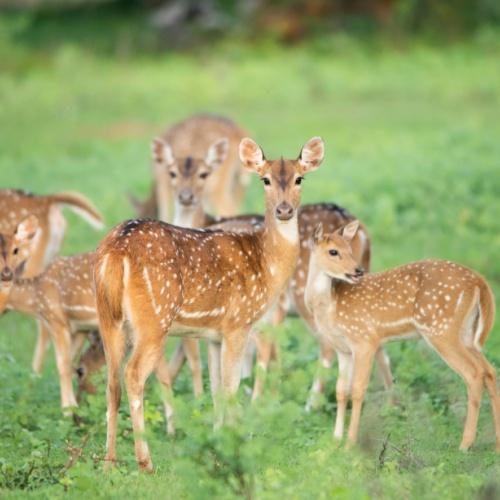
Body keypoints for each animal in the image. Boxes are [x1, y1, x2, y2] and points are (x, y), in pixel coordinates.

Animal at [94, 136, 324, 468]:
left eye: (299, 178)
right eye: (265, 179)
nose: (284, 209)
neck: (266, 263)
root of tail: (116, 251)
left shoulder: (214, 335)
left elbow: (216, 390)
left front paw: (217, 442)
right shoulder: (238, 323)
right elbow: (231, 388)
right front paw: (235, 447)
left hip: (107, 317)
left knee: (112, 382)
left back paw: (109, 462)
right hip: (154, 317)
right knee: (133, 375)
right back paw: (146, 462)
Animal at [304, 221, 500, 452]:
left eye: (350, 249)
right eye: (333, 251)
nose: (358, 270)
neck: (330, 307)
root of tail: (480, 282)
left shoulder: (365, 339)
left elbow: (358, 390)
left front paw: (350, 443)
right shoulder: (343, 349)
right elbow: (341, 391)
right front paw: (335, 440)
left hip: (442, 329)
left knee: (473, 374)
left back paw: (465, 444)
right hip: (467, 333)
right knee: (489, 371)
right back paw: (496, 445)